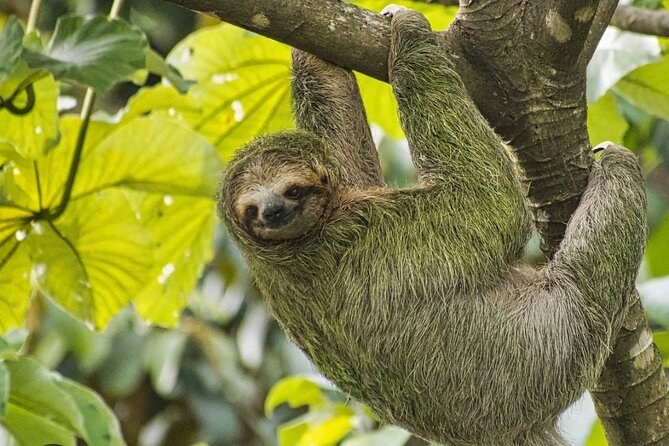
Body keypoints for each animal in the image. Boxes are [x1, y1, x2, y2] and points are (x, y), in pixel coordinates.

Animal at [218, 6, 647, 446]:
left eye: (292, 190)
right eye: (251, 209)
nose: (272, 212)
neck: (296, 244)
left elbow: (349, 151)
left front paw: (315, 53)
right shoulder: (374, 233)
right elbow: (491, 202)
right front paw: (410, 31)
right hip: (561, 340)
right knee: (592, 271)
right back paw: (616, 165)